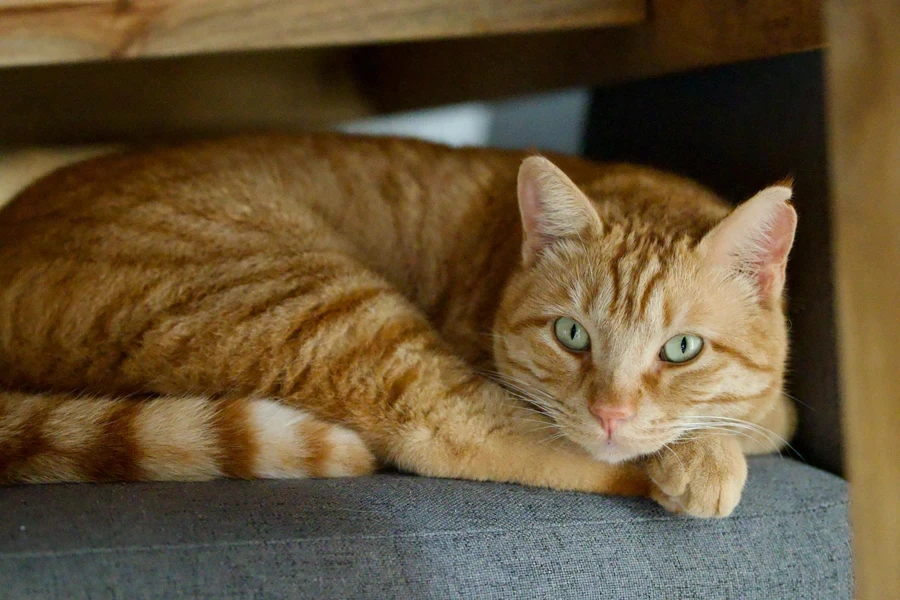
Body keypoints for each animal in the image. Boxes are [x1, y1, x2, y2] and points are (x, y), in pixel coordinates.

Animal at [0, 135, 800, 516]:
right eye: (571, 335)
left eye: (682, 349)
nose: (610, 414)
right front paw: (704, 455)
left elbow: (768, 415)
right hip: (318, 299)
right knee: (449, 434)